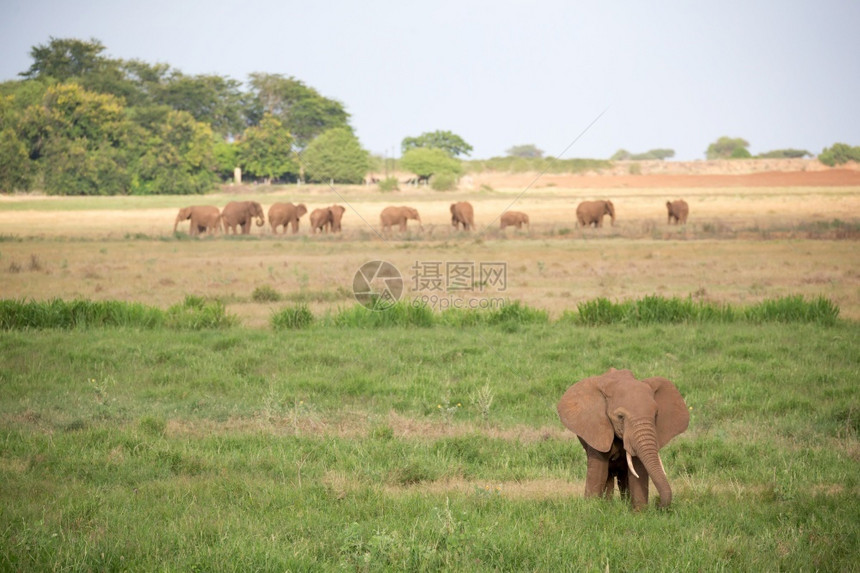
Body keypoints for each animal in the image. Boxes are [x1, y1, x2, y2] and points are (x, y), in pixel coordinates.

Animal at [556, 366, 692, 510]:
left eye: (656, 415)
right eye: (620, 417)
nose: (657, 503)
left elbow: (638, 468)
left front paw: (640, 512)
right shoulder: (596, 429)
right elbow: (599, 469)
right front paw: (591, 508)